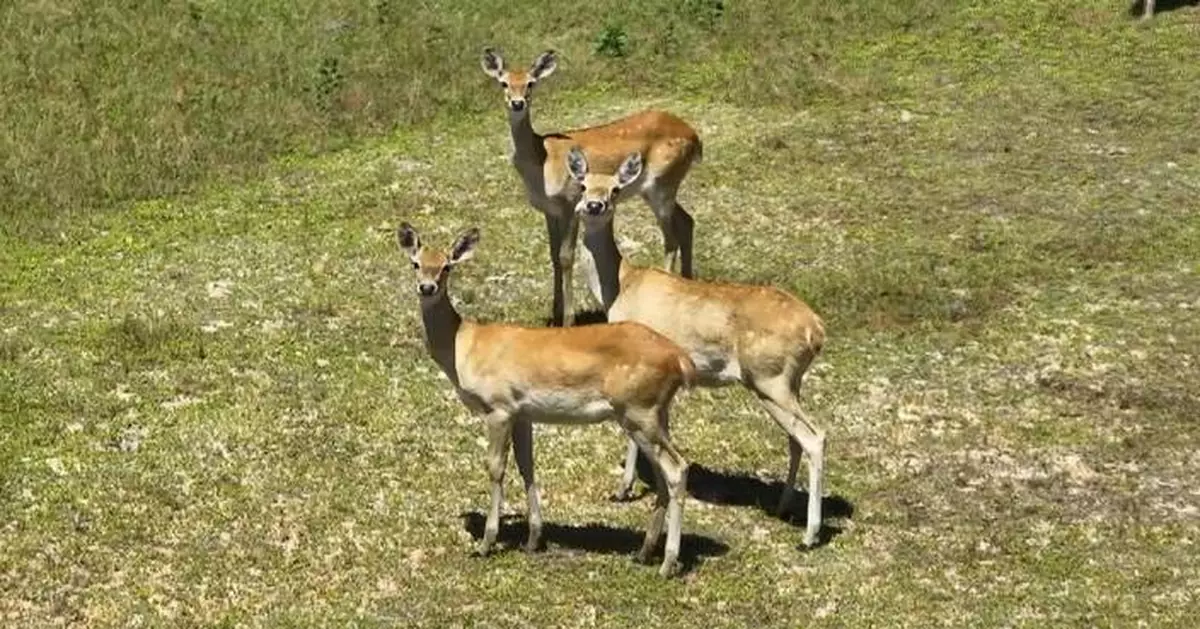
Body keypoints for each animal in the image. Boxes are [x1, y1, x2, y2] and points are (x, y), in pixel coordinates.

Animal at [396, 221, 697, 577]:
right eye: (415, 262)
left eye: (447, 266)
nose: (427, 287)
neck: (464, 346)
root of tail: (680, 359)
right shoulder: (522, 413)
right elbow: (527, 466)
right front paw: (533, 539)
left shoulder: (498, 407)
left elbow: (495, 467)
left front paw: (486, 543)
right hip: (654, 413)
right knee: (664, 474)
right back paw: (644, 552)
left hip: (639, 410)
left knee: (677, 468)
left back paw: (668, 563)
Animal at [480, 47, 703, 327]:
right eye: (504, 82)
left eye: (531, 83)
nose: (518, 103)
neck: (542, 160)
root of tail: (695, 137)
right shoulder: (549, 210)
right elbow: (553, 256)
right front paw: (555, 313)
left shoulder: (569, 202)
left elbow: (565, 257)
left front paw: (568, 319)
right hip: (663, 186)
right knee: (687, 220)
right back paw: (687, 280)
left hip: (661, 184)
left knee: (670, 238)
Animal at [564, 147, 830, 548]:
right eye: (582, 184)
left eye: (615, 189)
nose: (594, 205)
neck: (622, 285)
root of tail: (815, 329)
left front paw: (623, 489)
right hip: (789, 383)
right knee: (796, 439)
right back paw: (785, 508)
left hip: (770, 379)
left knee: (814, 437)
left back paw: (809, 535)